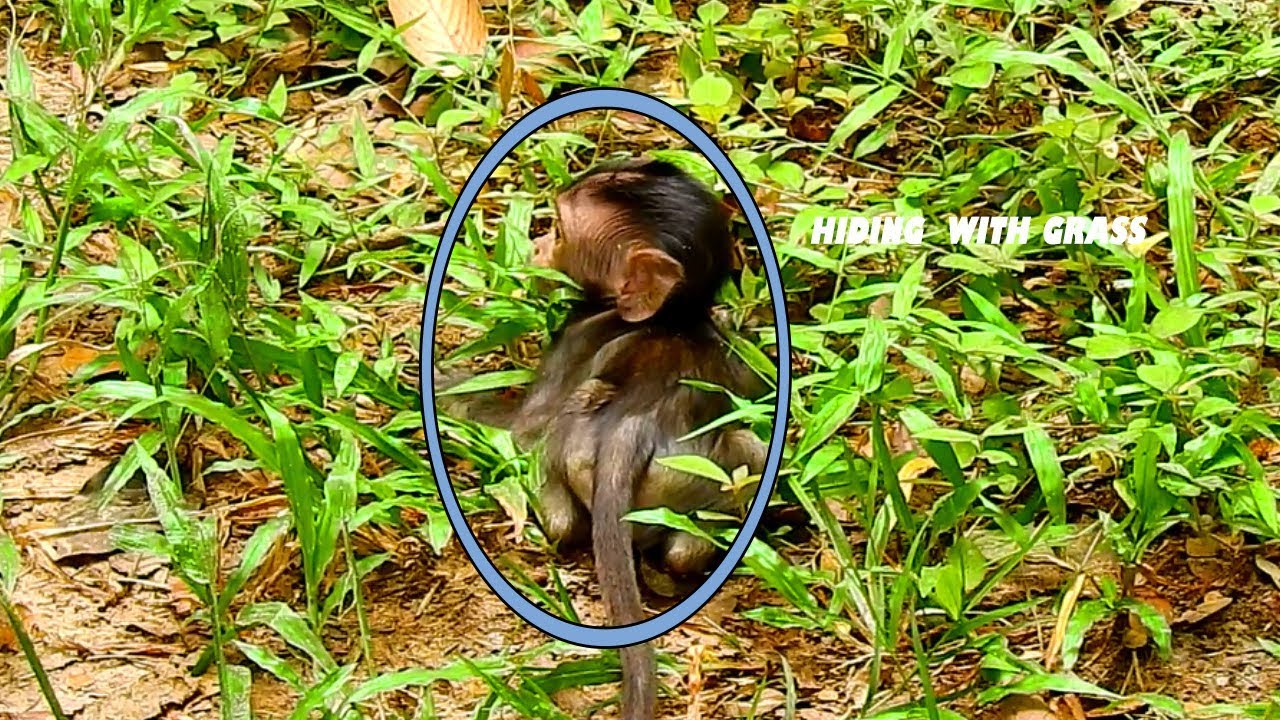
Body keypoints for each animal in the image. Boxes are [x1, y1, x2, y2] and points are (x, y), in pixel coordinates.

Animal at [434, 157, 770, 720]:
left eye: (559, 230)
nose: (536, 246)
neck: (674, 316)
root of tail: (634, 426)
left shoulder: (578, 330)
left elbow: (524, 425)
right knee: (745, 459)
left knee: (562, 504)